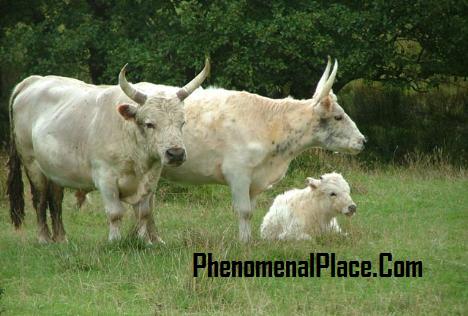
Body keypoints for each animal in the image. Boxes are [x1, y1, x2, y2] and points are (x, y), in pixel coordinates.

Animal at [7, 58, 210, 242]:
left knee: (56, 199)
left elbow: (144, 212)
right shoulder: (105, 179)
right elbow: (115, 213)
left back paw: (61, 238)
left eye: (182, 123)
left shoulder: (150, 180)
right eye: (149, 124)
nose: (176, 154)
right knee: (40, 199)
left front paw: (145, 242)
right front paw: (115, 241)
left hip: (55, 168)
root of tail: (33, 81)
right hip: (32, 163)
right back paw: (44, 238)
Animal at [161, 58, 366, 241]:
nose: (363, 141)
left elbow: (251, 212)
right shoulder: (238, 173)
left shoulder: (255, 180)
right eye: (338, 117)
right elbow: (244, 211)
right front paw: (244, 243)